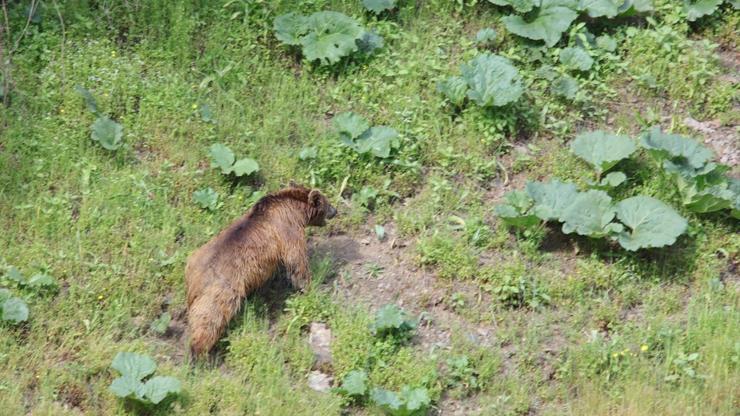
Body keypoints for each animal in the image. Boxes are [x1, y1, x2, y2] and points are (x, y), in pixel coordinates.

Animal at [185, 184, 338, 356]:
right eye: (326, 202)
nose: (335, 210)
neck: (295, 209)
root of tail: (194, 275)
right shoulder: (288, 230)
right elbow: (297, 263)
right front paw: (312, 286)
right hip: (222, 290)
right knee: (210, 318)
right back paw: (199, 351)